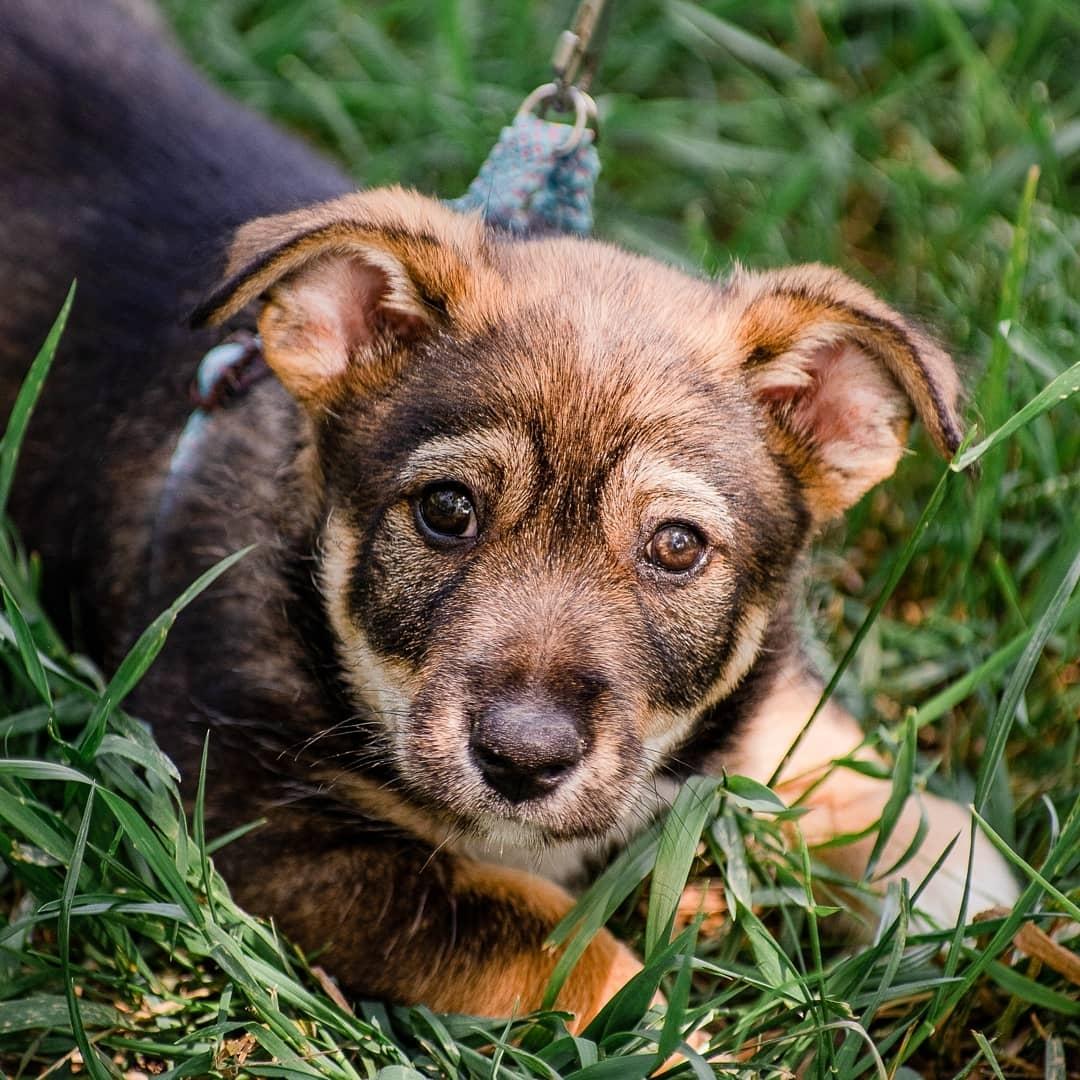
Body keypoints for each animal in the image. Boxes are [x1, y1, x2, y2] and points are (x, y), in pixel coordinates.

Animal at [0, 0, 1015, 1028]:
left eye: (677, 547)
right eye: (447, 510)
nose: (524, 763)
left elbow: (831, 755)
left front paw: (955, 881)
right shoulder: (261, 830)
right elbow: (547, 936)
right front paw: (666, 1031)